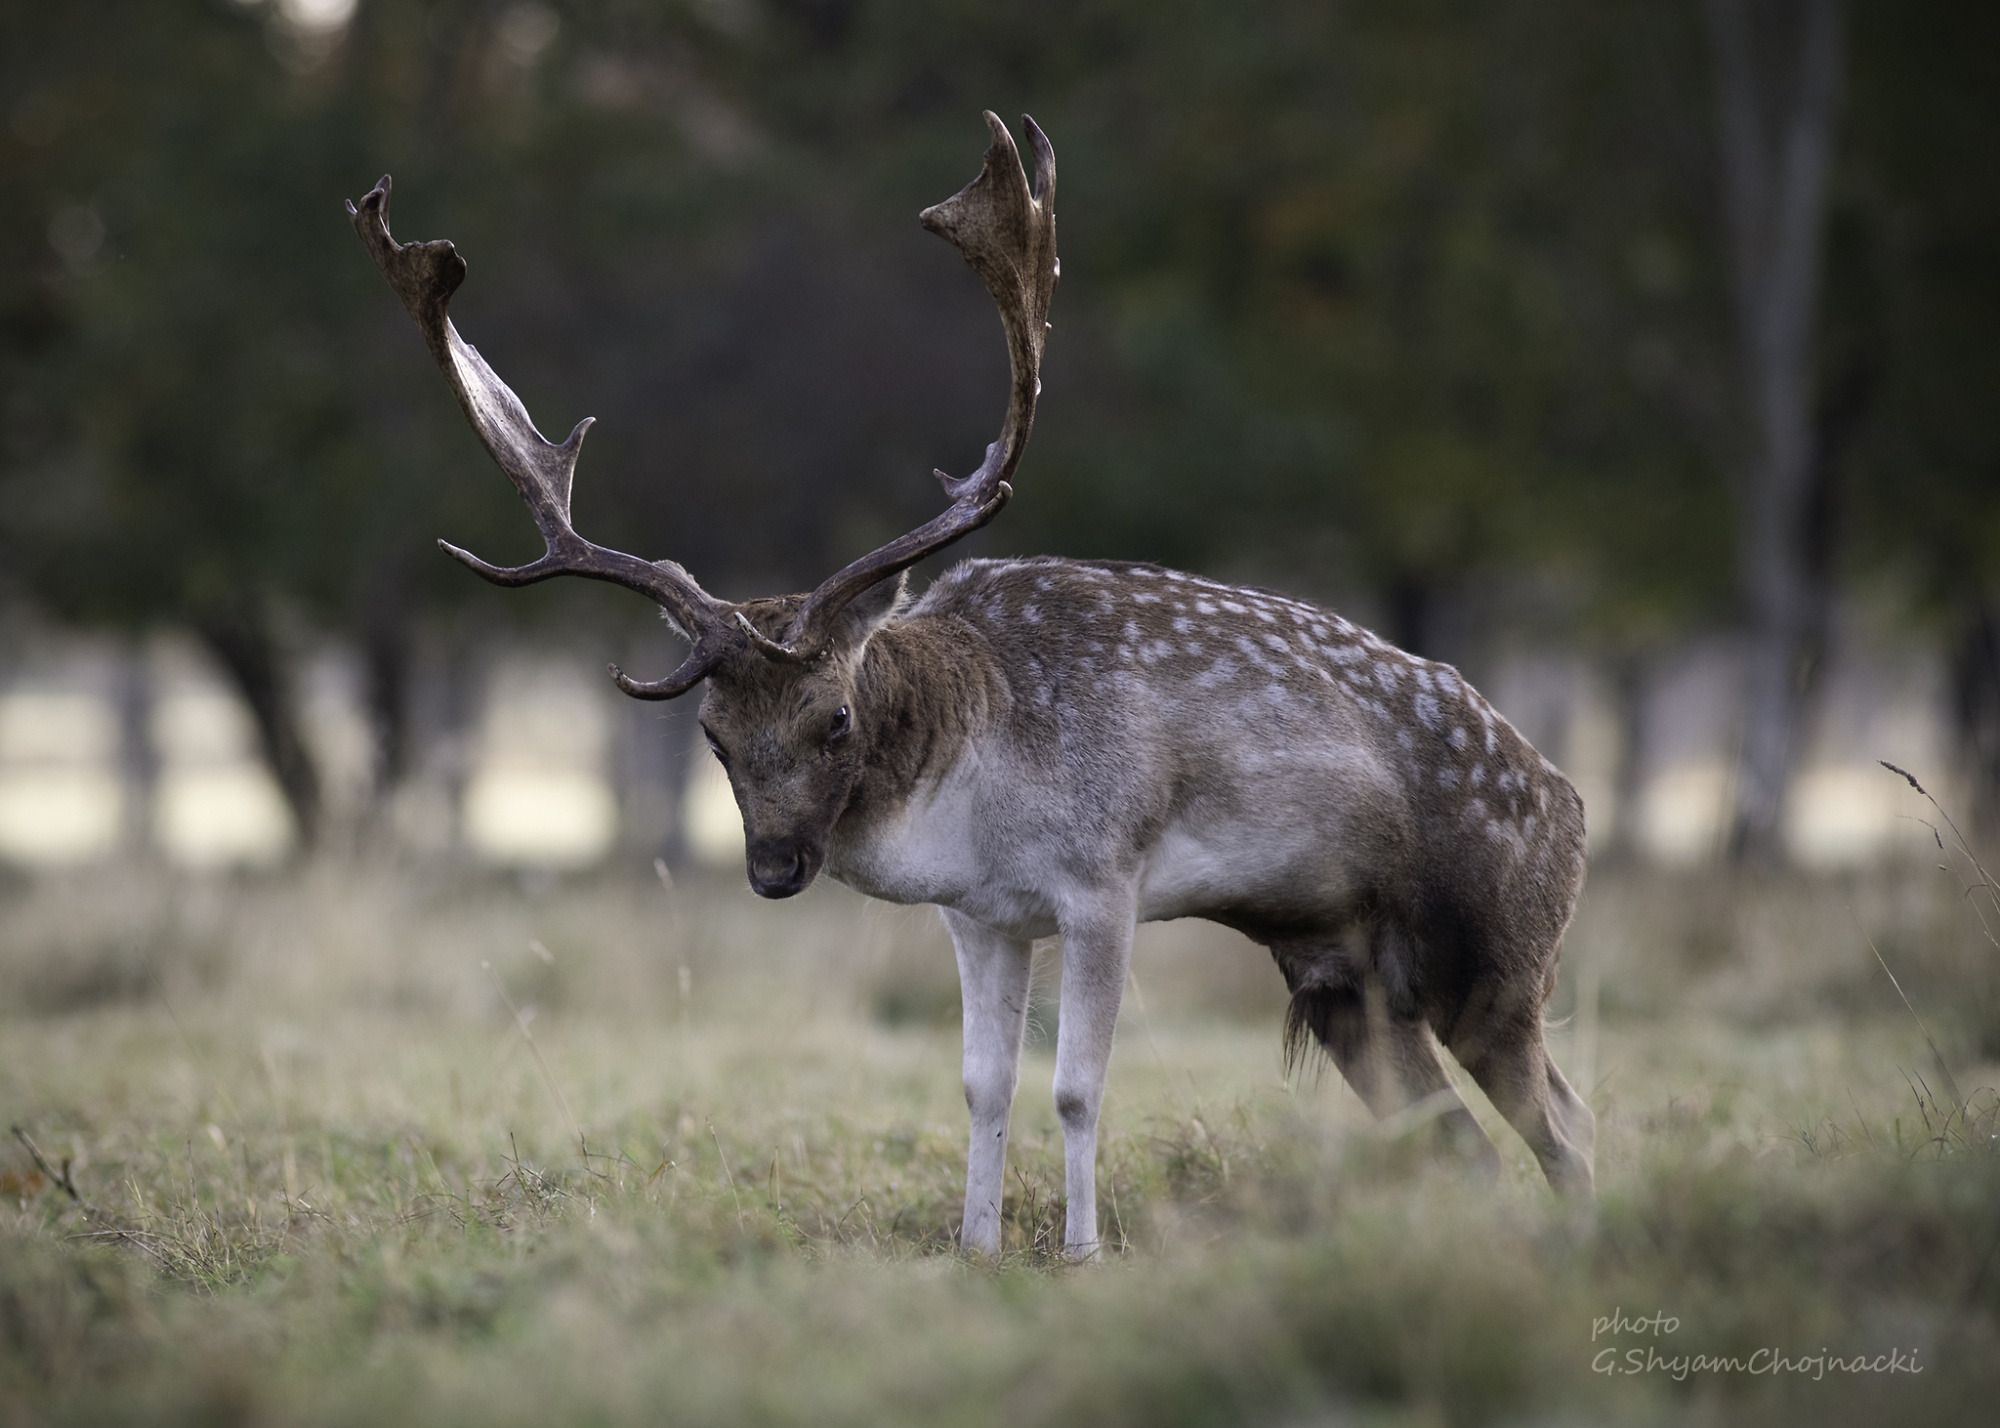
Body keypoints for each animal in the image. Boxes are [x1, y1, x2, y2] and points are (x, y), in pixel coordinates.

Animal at [348, 112, 1595, 1260]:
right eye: (712, 734)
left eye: (834, 715)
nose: (773, 868)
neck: (980, 778)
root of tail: (1570, 802)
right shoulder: (981, 917)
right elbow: (981, 1083)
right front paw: (976, 1246)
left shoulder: (1103, 881)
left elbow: (1076, 1087)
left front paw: (1081, 1253)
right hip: (1342, 976)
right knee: (1462, 1140)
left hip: (1496, 951)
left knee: (1564, 1121)